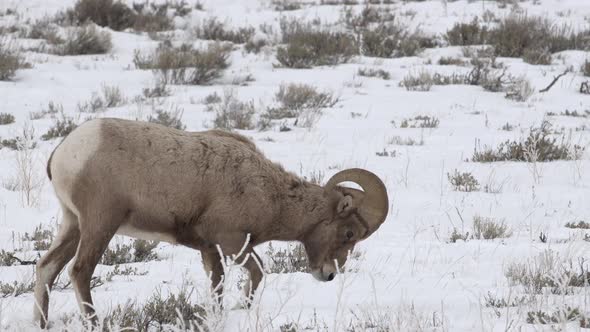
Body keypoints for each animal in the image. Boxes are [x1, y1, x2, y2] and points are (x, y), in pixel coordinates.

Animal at [34, 117, 390, 326]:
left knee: (47, 267)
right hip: (99, 225)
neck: (270, 194)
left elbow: (216, 286)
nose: (328, 275)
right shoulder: (232, 243)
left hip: (73, 224)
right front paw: (242, 310)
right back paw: (94, 323)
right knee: (80, 271)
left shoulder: (210, 250)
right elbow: (258, 273)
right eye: (348, 233)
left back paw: (41, 322)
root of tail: (66, 151)